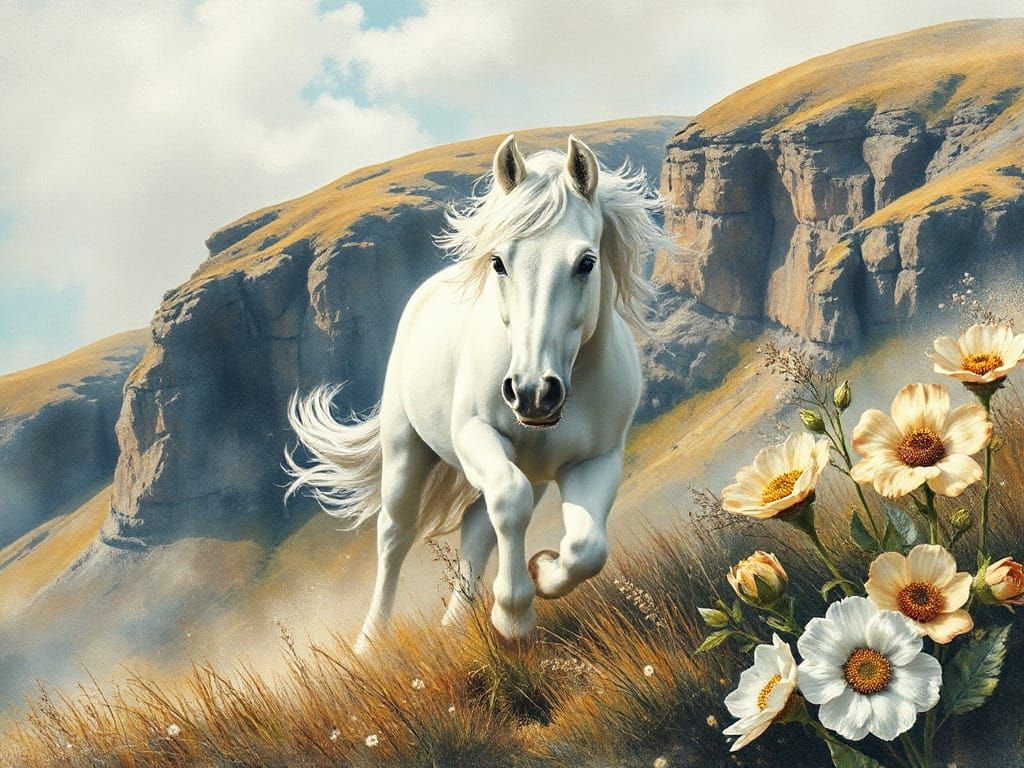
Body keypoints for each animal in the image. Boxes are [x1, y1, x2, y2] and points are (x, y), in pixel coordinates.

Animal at [285, 134, 670, 652]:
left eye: (586, 262)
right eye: (498, 262)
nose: (532, 392)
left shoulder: (596, 461)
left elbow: (585, 548)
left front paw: (542, 571)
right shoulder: (475, 434)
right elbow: (509, 500)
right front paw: (513, 615)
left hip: (532, 469)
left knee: (476, 525)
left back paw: (453, 626)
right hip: (406, 449)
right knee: (396, 533)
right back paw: (370, 643)